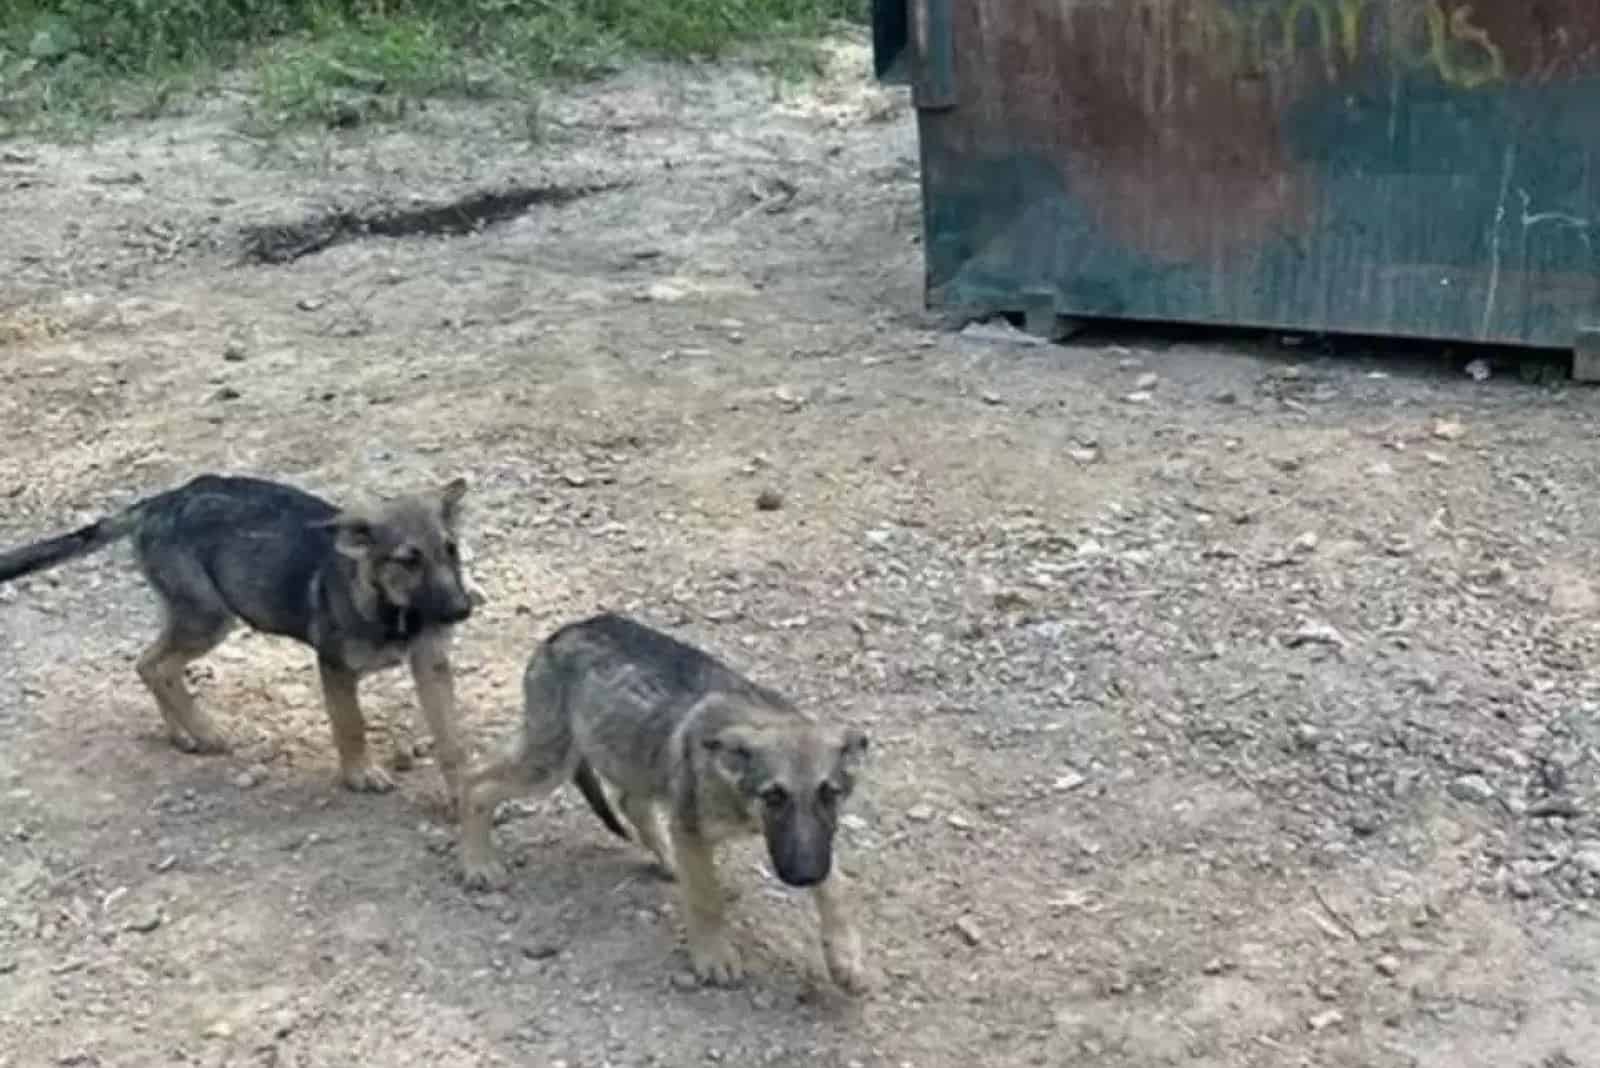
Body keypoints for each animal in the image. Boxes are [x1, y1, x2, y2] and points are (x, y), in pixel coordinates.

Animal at [0, 470, 473, 805]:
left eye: (450, 549)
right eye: (408, 561)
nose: (462, 611)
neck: (395, 611)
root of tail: (163, 501)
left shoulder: (431, 664)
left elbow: (450, 738)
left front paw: (462, 795)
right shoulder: (335, 666)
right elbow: (350, 724)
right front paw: (361, 774)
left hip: (190, 614)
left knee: (150, 662)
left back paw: (183, 734)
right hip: (207, 617)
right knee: (155, 664)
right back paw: (207, 732)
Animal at [457, 613, 870, 997]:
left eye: (830, 794)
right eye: (774, 796)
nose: (804, 877)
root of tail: (565, 631)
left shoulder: (817, 839)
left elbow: (837, 886)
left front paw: (846, 956)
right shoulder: (691, 826)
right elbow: (706, 898)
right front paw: (714, 955)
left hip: (629, 756)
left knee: (630, 804)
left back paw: (669, 860)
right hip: (549, 762)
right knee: (477, 783)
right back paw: (479, 863)